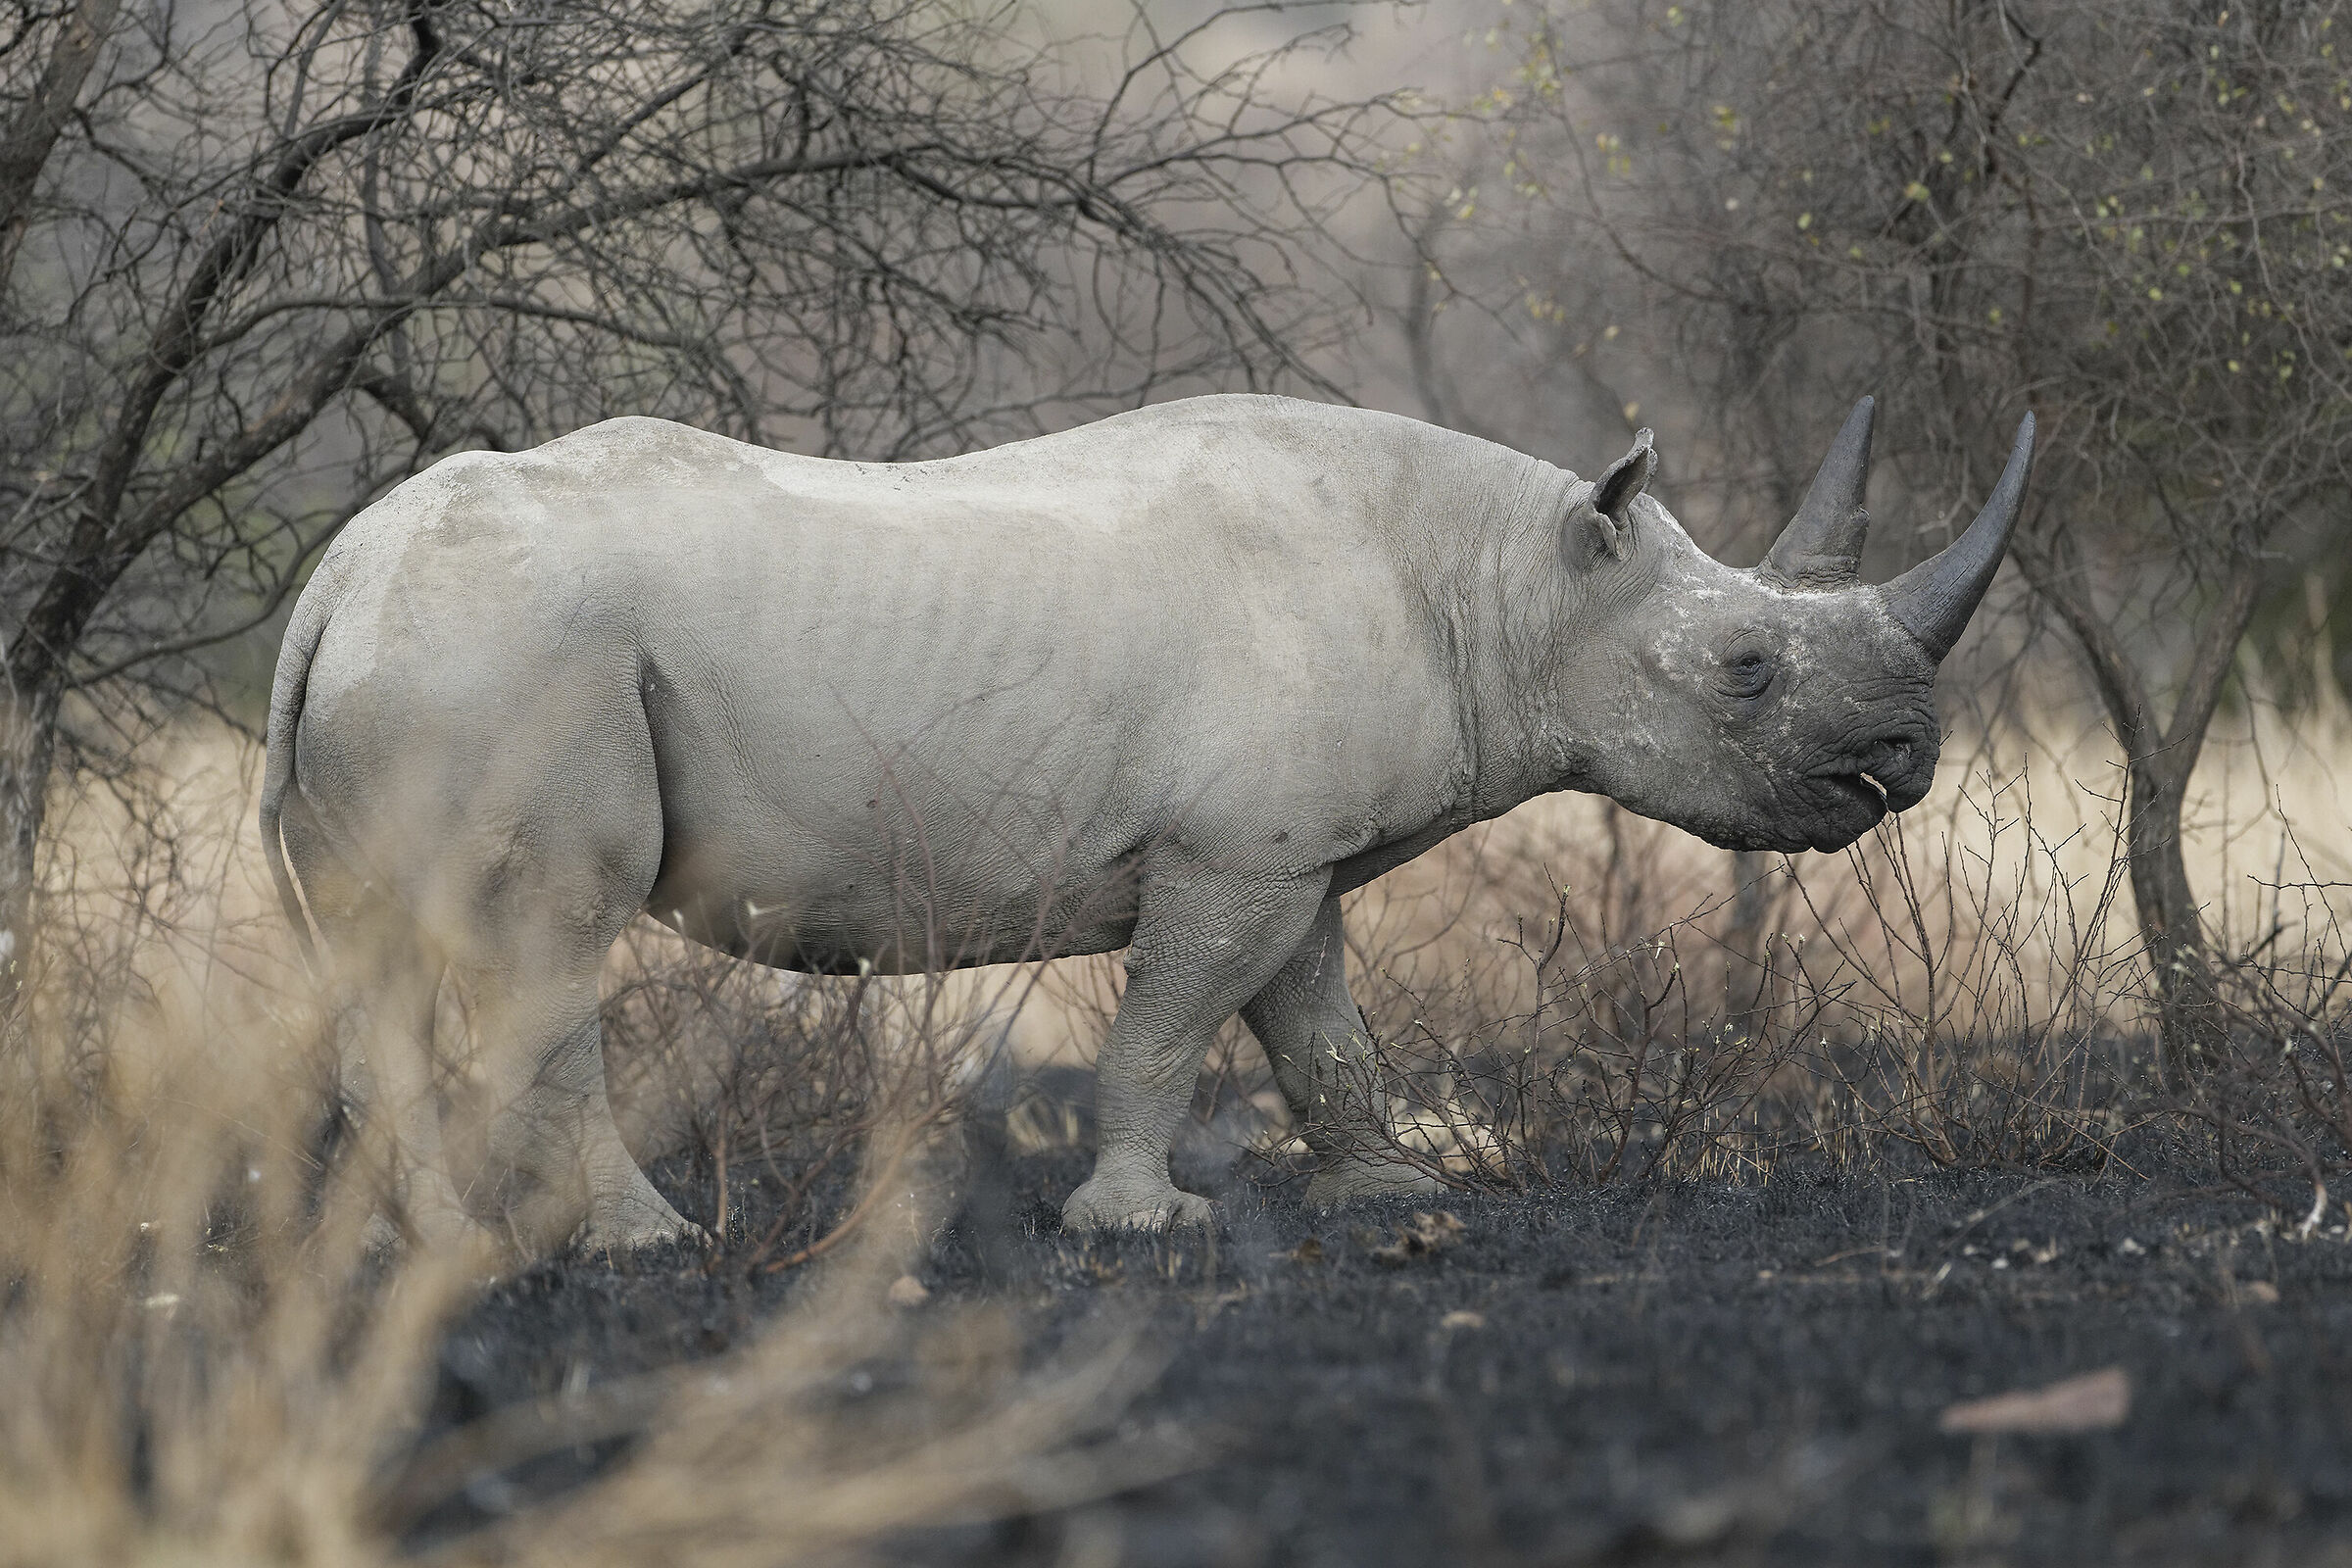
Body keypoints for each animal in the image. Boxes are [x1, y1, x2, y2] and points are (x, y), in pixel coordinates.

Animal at [260, 393, 2031, 1251]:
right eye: (1747, 671)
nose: (1907, 757)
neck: (1511, 581)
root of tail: (337, 577)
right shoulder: (1230, 853)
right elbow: (1175, 1028)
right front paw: (1140, 1219)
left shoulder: (1294, 847)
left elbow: (1321, 1027)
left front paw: (1394, 1198)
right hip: (513, 654)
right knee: (549, 947)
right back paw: (632, 1244)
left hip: (439, 648)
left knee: (393, 961)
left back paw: (420, 1251)